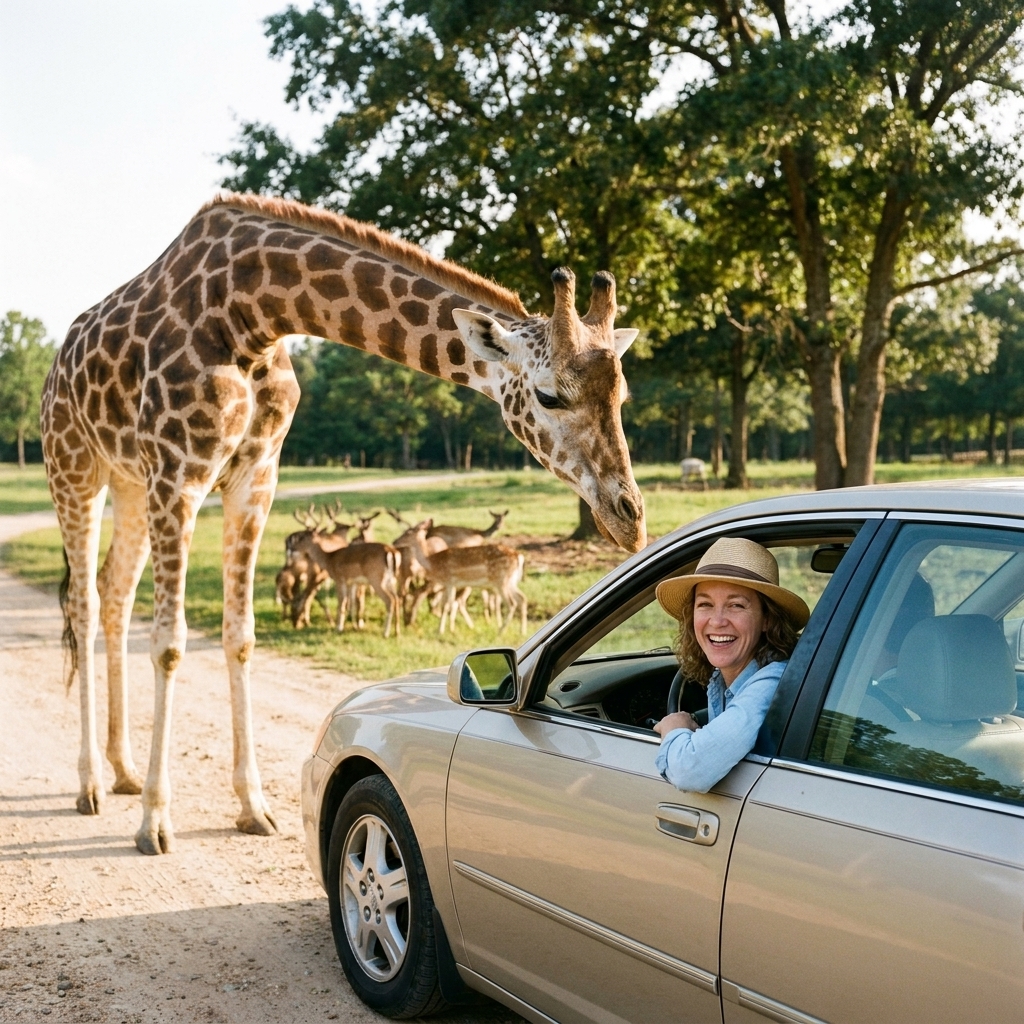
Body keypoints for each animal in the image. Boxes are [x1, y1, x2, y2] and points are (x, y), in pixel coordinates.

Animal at [41, 192, 646, 855]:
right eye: (548, 395)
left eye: (623, 396)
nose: (630, 520)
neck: (252, 314)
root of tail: (56, 367)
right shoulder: (179, 474)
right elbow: (171, 644)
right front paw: (155, 822)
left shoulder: (256, 477)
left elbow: (241, 635)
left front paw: (253, 807)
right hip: (76, 468)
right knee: (83, 604)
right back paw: (90, 786)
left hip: (128, 484)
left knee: (114, 594)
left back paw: (121, 771)